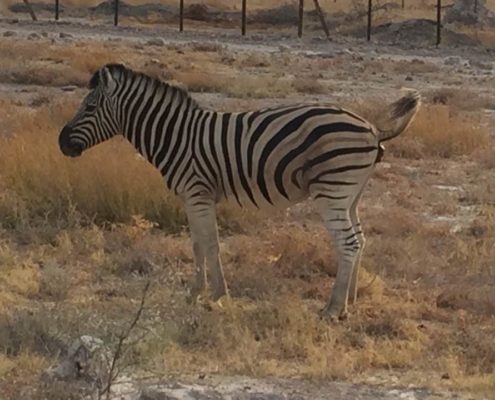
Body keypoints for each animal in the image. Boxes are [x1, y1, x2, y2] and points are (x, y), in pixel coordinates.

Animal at [60, 64, 420, 320]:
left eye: (90, 107)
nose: (61, 143)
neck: (175, 135)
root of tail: (372, 128)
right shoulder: (193, 197)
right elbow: (197, 244)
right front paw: (197, 292)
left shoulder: (197, 192)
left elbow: (209, 244)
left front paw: (214, 295)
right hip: (350, 194)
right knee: (360, 239)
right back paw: (350, 302)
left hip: (332, 190)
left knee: (348, 243)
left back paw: (332, 309)